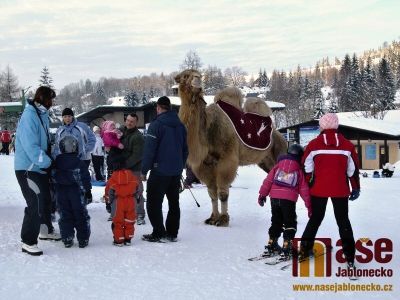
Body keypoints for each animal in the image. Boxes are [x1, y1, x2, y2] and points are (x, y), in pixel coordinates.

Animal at [175, 69, 288, 226]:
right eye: (185, 76)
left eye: (199, 74)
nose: (197, 79)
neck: (208, 129)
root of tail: (281, 137)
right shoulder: (205, 164)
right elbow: (212, 193)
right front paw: (212, 218)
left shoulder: (226, 160)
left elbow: (222, 192)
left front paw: (223, 219)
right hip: (265, 162)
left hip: (279, 152)